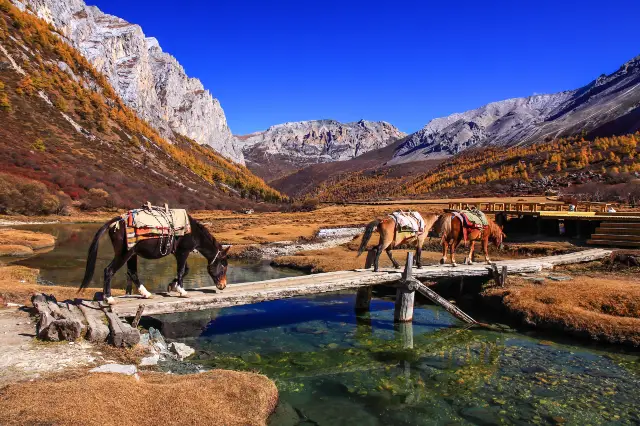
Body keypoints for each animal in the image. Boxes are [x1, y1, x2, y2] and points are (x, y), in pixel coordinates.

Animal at [80, 214, 230, 305]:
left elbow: (185, 270)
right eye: (223, 266)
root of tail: (117, 220)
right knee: (109, 270)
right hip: (124, 254)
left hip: (132, 254)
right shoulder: (183, 252)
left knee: (132, 272)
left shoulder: (178, 253)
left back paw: (146, 294)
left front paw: (172, 286)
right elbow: (182, 271)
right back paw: (109, 298)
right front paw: (182, 291)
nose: (223, 286)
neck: (193, 232)